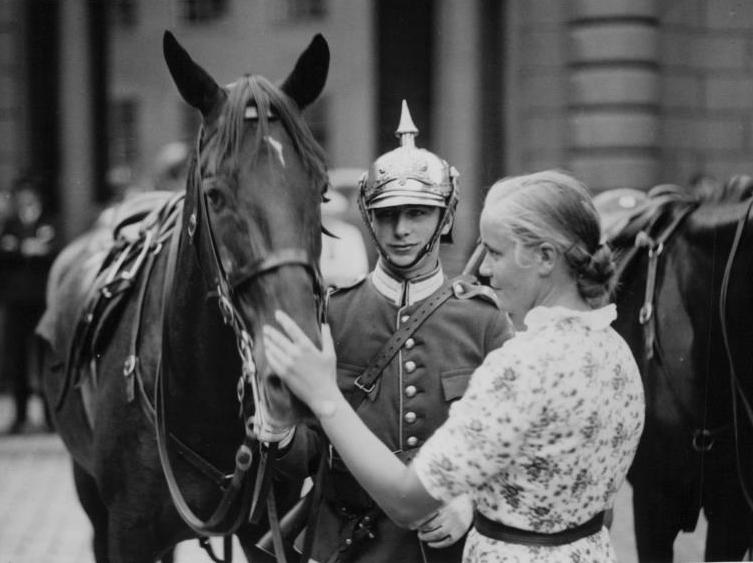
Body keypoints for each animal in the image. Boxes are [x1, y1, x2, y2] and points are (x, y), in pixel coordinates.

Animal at [35, 32, 328, 563]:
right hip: (89, 493)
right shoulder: (127, 532)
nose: (300, 378)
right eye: (214, 194)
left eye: (322, 190)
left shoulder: (267, 529)